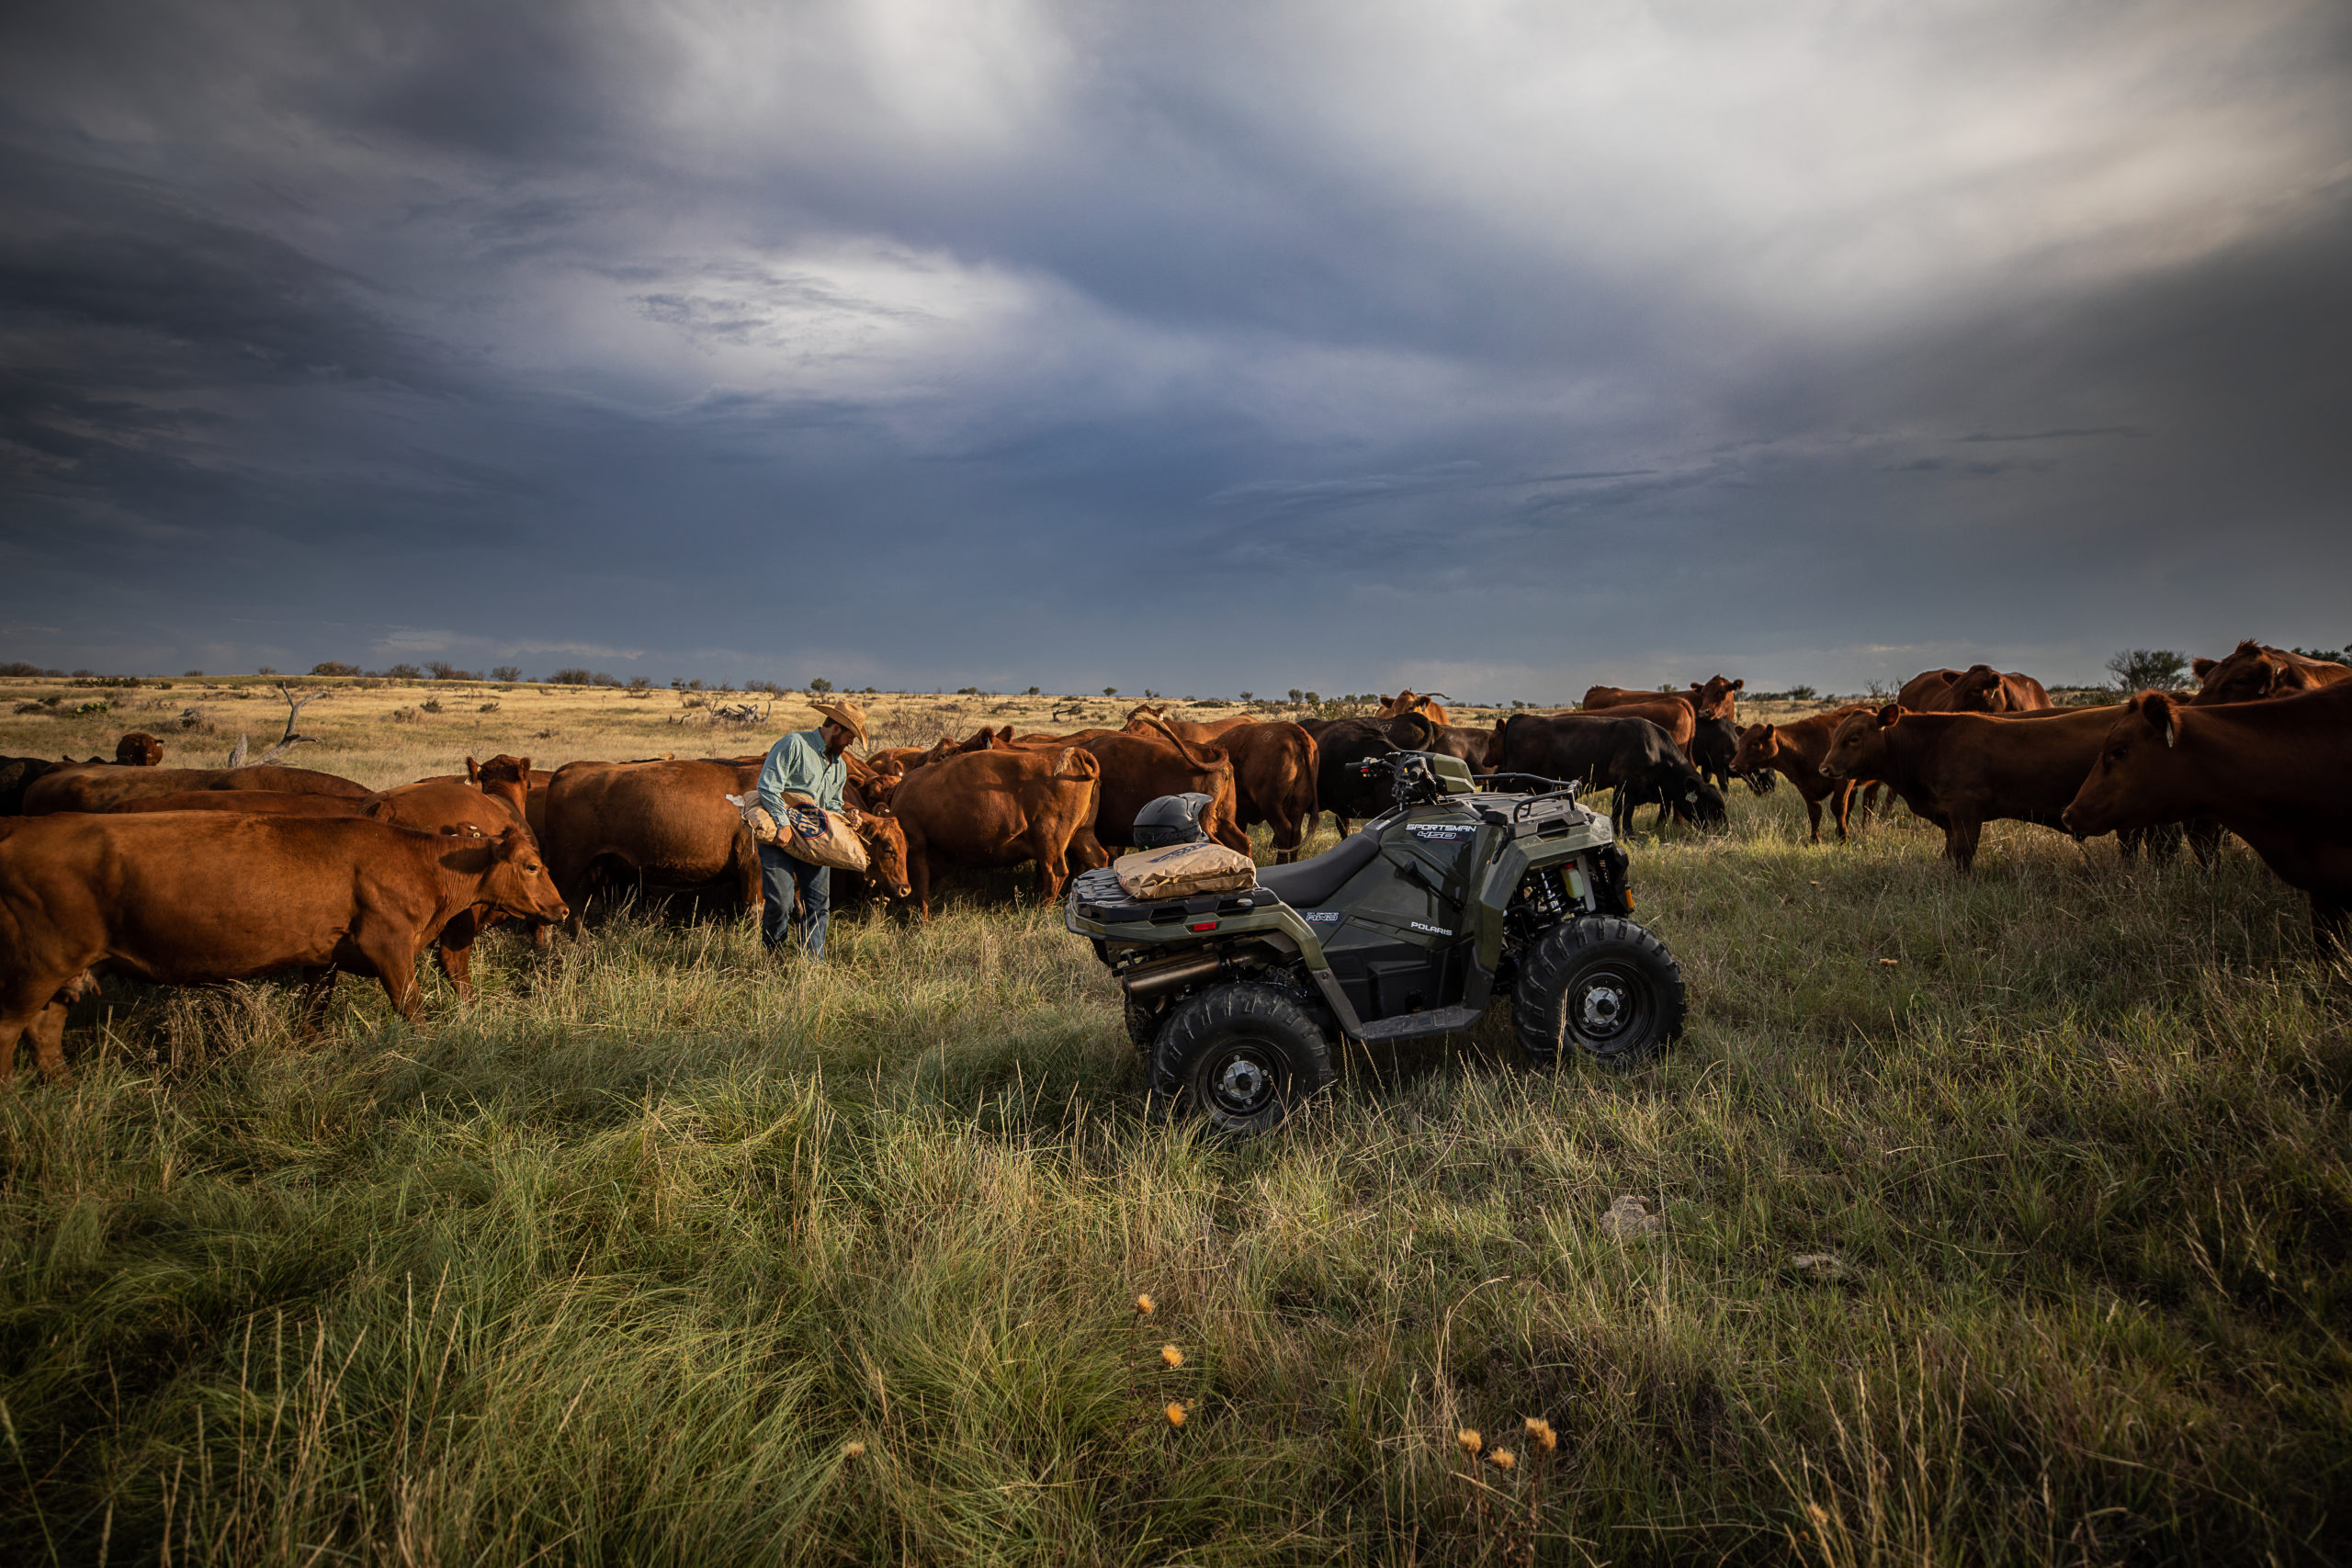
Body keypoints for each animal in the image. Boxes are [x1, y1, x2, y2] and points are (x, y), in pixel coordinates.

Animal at [0, 818, 569, 1086]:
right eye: (532, 866)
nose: (562, 910)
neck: (420, 862)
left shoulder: (323, 959)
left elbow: (312, 1016)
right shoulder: (388, 946)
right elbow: (413, 1009)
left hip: (69, 972)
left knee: (45, 1032)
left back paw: (64, 1087)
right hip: (36, 969)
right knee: (11, 1029)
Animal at [888, 747, 1101, 921]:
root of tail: (1077, 754)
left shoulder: (916, 847)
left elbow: (921, 887)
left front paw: (922, 921)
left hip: (1050, 842)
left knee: (1055, 873)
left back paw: (1040, 909)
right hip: (1082, 834)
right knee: (1098, 859)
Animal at [1740, 705, 1882, 841]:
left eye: (1756, 743)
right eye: (1741, 742)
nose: (1735, 764)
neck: (1805, 746)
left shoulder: (1843, 781)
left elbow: (1838, 807)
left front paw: (1843, 837)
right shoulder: (1804, 786)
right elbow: (1815, 813)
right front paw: (1815, 839)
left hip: (1874, 782)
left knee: (1868, 802)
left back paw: (1865, 827)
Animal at [1825, 709, 2154, 869]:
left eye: (1854, 738)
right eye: (1835, 735)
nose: (1825, 768)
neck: (1930, 744)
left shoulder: (1966, 811)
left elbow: (1963, 855)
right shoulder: (1949, 817)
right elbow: (1949, 854)